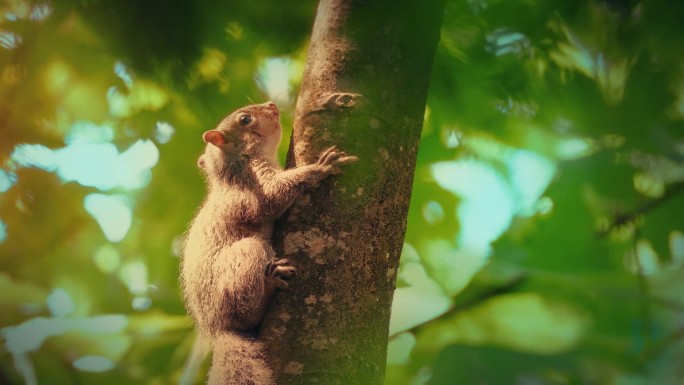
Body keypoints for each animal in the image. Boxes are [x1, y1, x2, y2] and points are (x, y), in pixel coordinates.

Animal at [182, 100, 358, 382]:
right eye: (245, 119)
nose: (271, 104)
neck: (234, 166)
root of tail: (217, 329)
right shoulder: (252, 186)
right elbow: (273, 198)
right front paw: (320, 167)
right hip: (246, 257)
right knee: (245, 314)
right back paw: (269, 285)